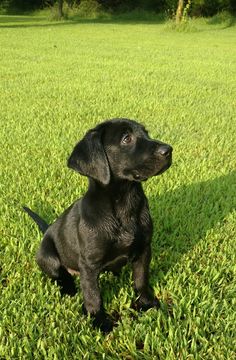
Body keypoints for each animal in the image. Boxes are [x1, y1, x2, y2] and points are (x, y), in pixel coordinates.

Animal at [24, 117, 172, 332]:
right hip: (47, 255)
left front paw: (146, 303)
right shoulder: (89, 264)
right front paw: (99, 320)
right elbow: (93, 295)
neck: (125, 204)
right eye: (126, 138)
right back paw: (68, 288)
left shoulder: (144, 249)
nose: (168, 150)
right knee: (59, 275)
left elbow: (141, 279)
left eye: (146, 133)